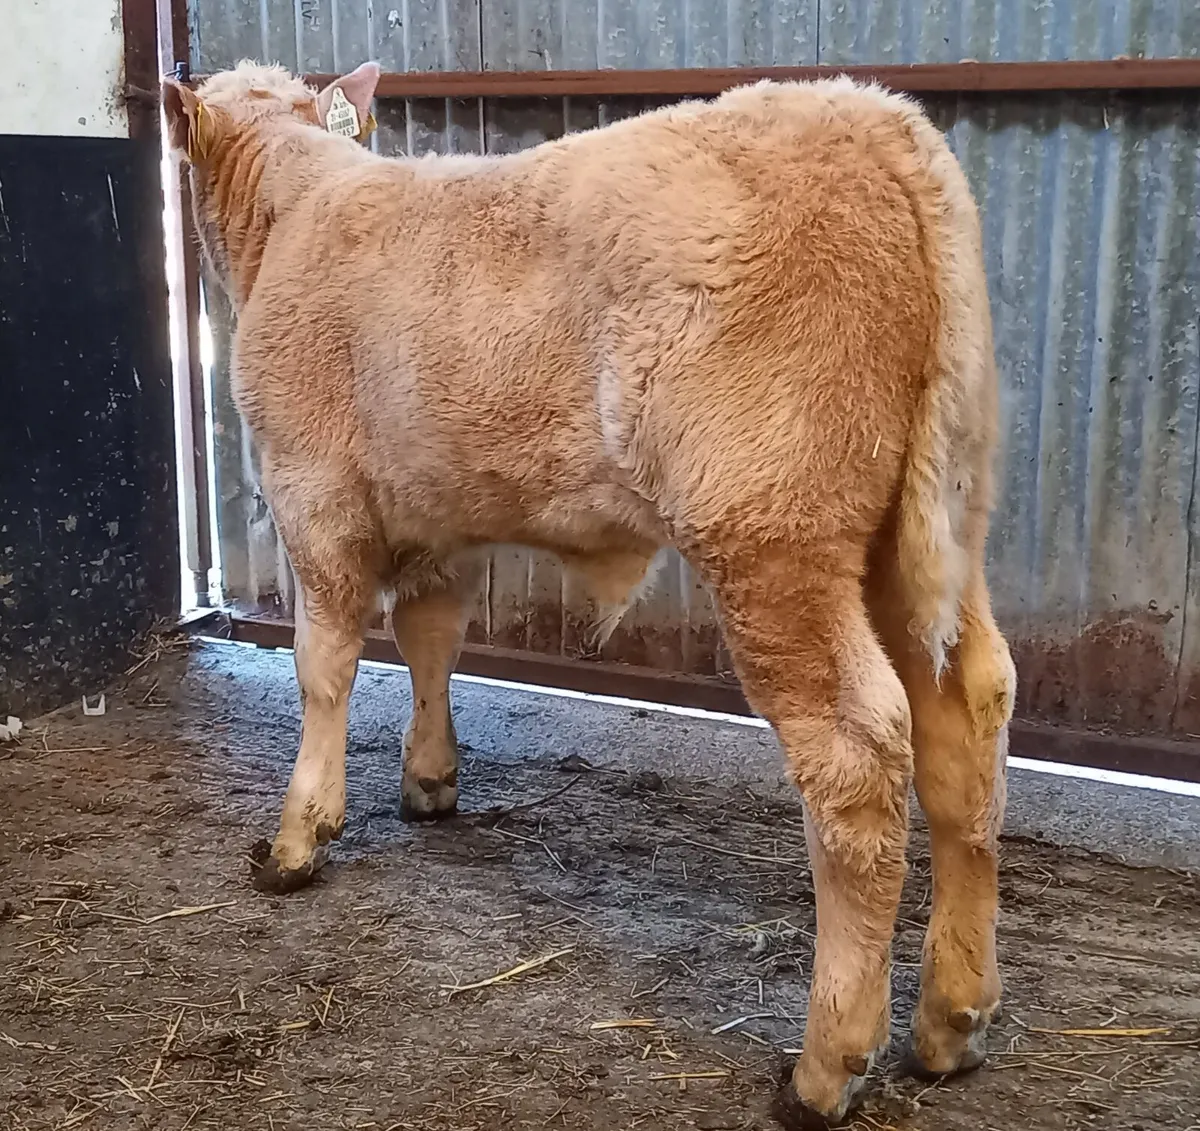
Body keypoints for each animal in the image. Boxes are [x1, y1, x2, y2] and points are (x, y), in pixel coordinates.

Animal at [161, 61, 1016, 1127]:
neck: (298, 205)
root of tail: (877, 119)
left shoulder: (313, 492)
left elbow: (324, 666)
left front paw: (298, 835)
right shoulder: (442, 512)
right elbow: (433, 639)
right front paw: (431, 780)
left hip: (774, 531)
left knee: (857, 758)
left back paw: (826, 1064)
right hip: (929, 526)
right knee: (968, 716)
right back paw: (952, 1017)